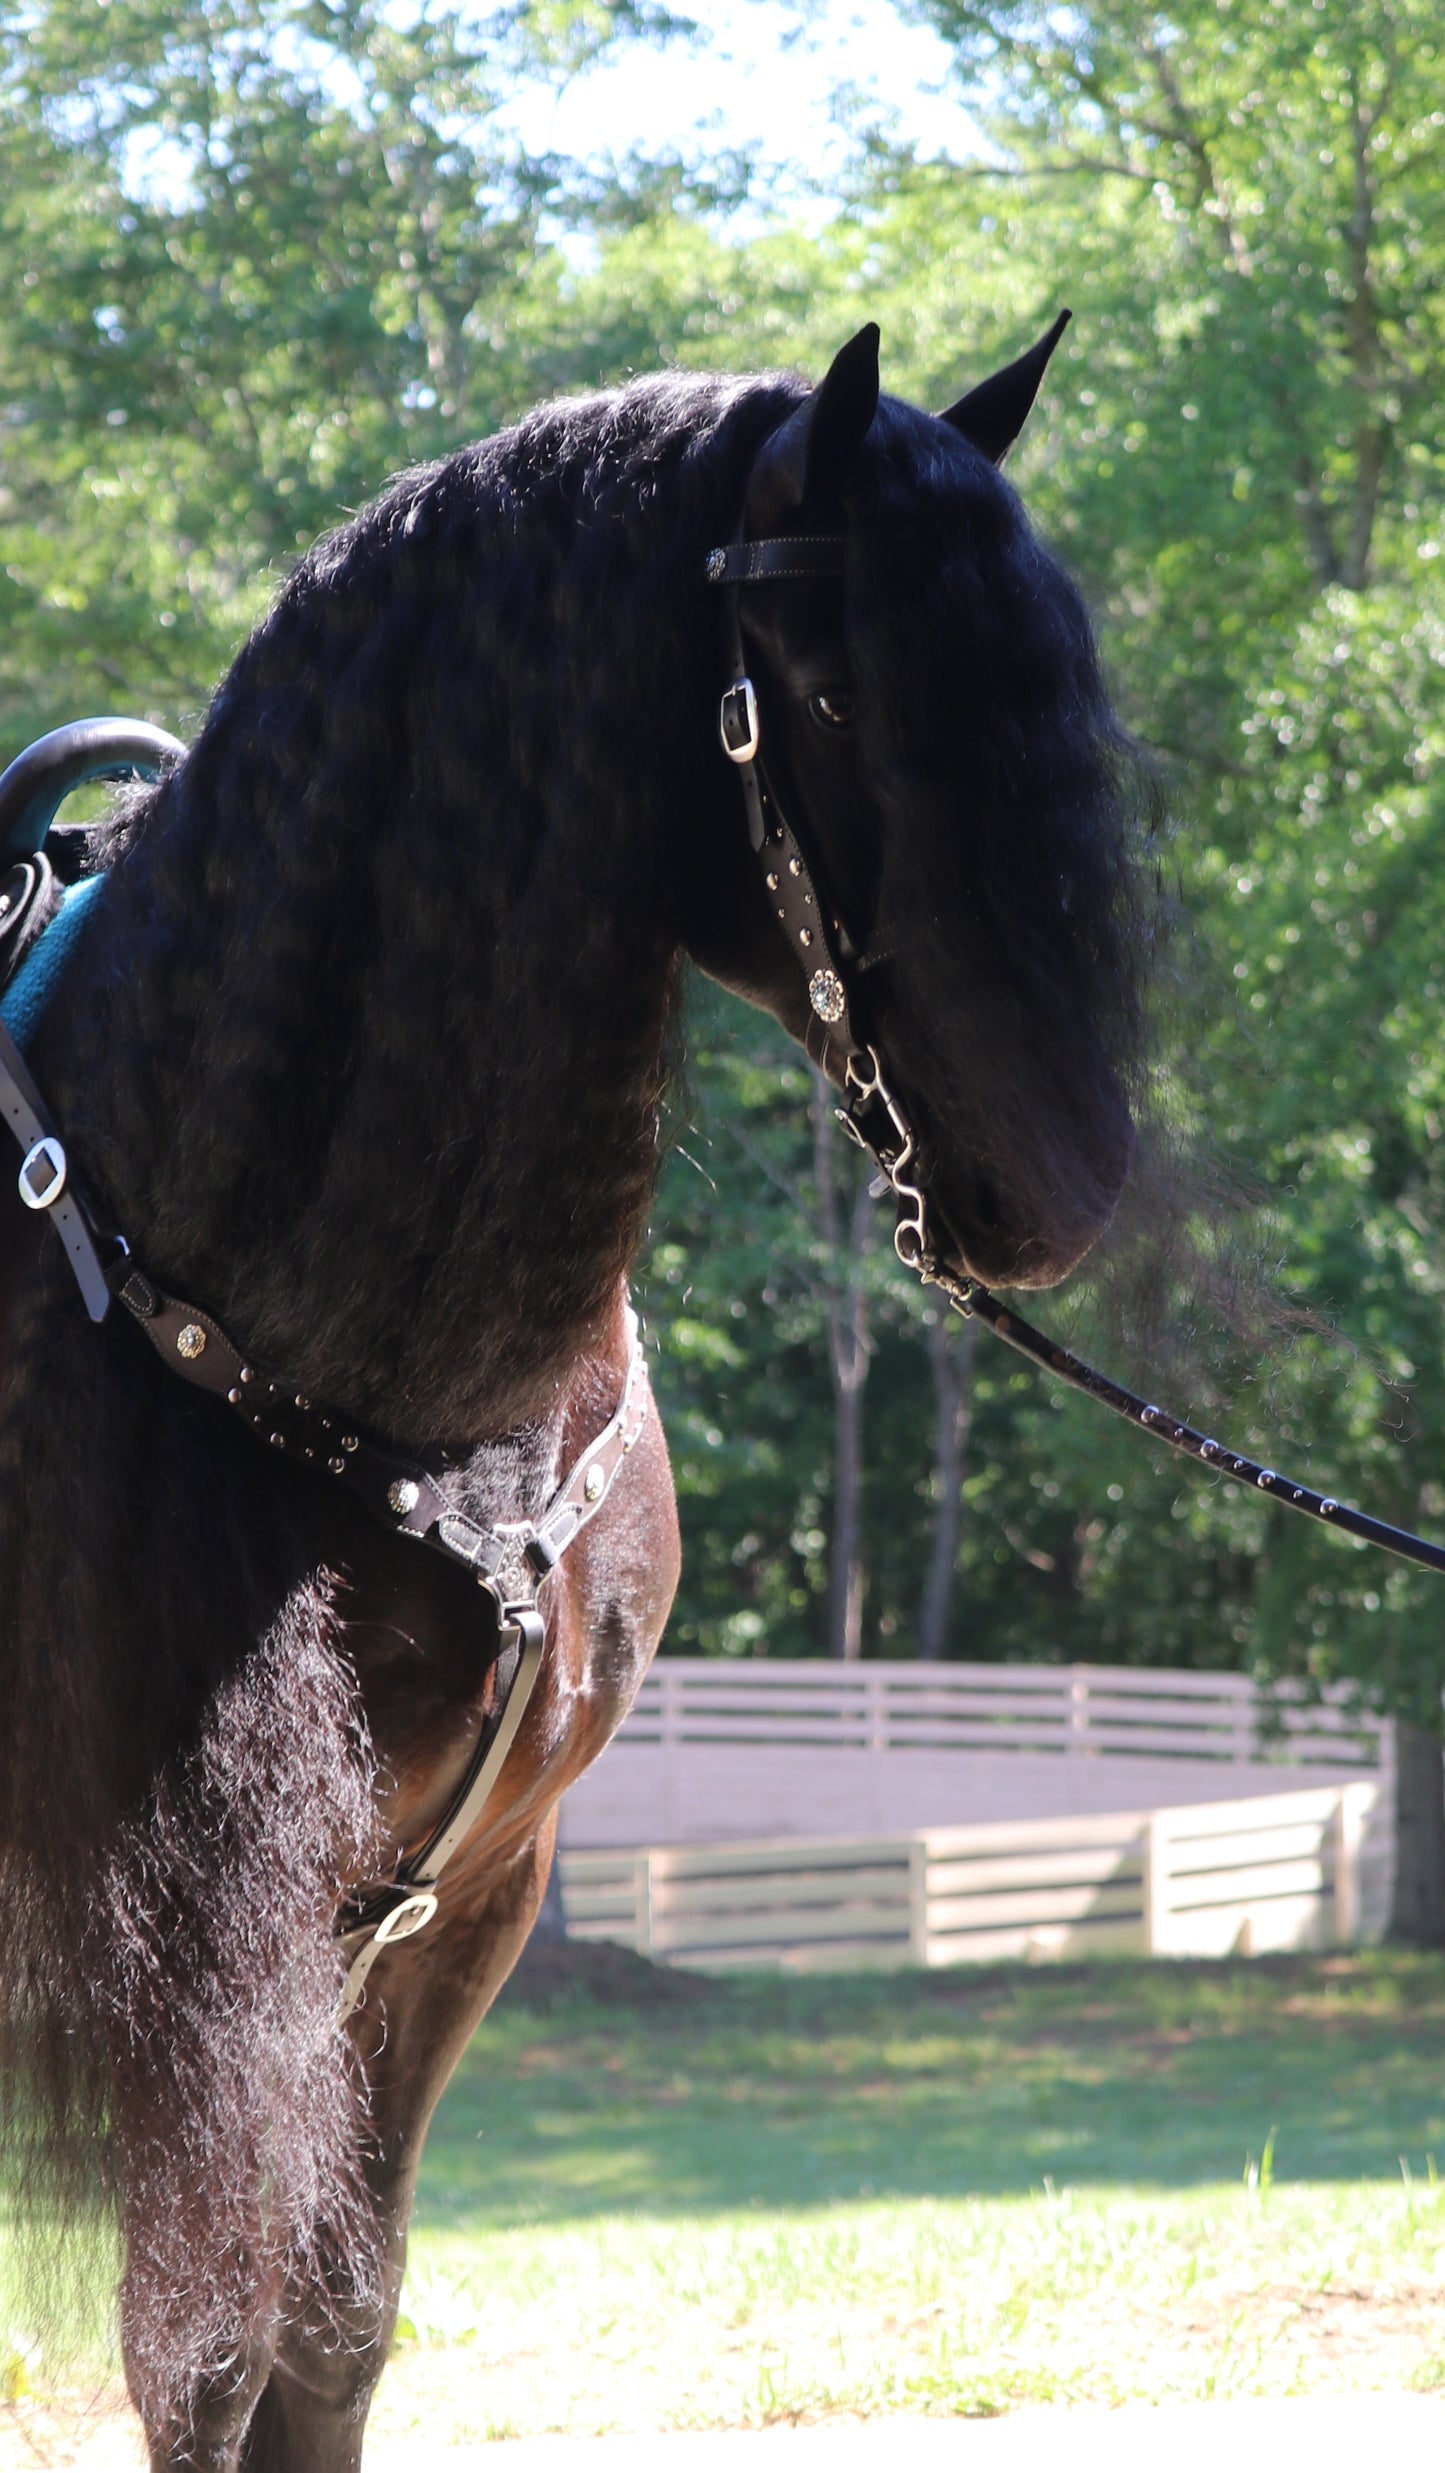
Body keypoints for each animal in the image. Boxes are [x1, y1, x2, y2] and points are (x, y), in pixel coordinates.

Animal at [0, 319, 1148, 2463]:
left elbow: (326, 2330)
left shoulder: (453, 1915)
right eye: (836, 688)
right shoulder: (198, 1957)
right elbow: (197, 2352)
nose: (1058, 1185)